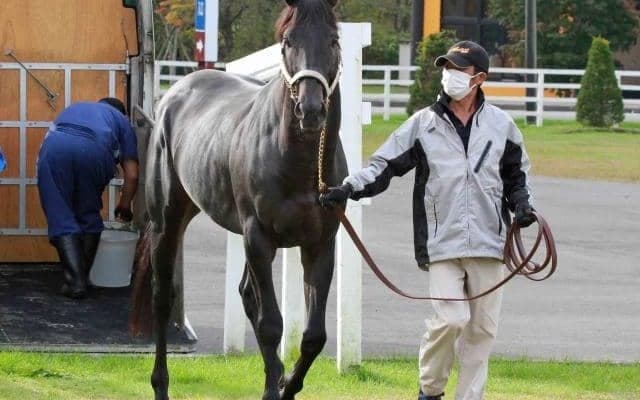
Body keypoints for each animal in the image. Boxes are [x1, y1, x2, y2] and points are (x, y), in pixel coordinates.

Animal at [133, 0, 345, 398]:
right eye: (287, 40)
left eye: (334, 40)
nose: (310, 110)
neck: (298, 163)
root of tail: (177, 90)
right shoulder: (258, 237)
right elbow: (271, 324)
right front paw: (273, 388)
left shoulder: (320, 244)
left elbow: (313, 336)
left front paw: (286, 384)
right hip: (168, 221)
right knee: (162, 298)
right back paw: (160, 384)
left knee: (247, 294)